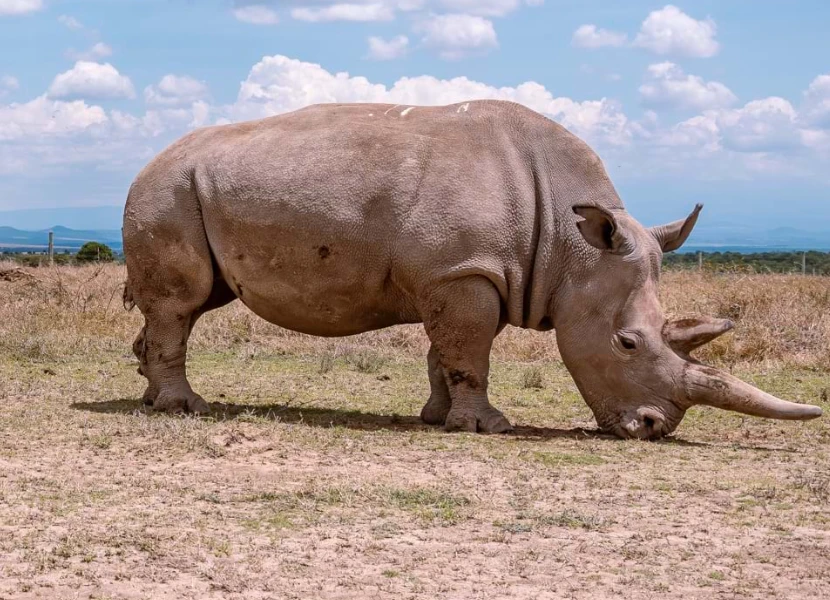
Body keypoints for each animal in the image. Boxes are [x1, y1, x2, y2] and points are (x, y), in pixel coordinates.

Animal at [122, 100, 822, 439]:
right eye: (627, 343)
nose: (652, 429)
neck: (574, 246)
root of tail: (148, 160)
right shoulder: (464, 273)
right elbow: (470, 350)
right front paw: (488, 428)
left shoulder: (456, 272)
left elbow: (447, 351)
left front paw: (436, 418)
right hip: (167, 189)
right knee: (181, 303)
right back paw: (185, 410)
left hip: (187, 187)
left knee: (194, 302)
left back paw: (153, 399)